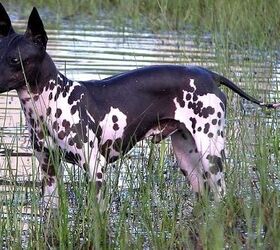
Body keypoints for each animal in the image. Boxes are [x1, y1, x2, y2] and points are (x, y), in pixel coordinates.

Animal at [0, 3, 278, 208]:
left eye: (14, 59)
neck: (52, 101)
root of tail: (209, 74)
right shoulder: (48, 173)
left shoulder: (96, 170)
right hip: (189, 163)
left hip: (211, 157)